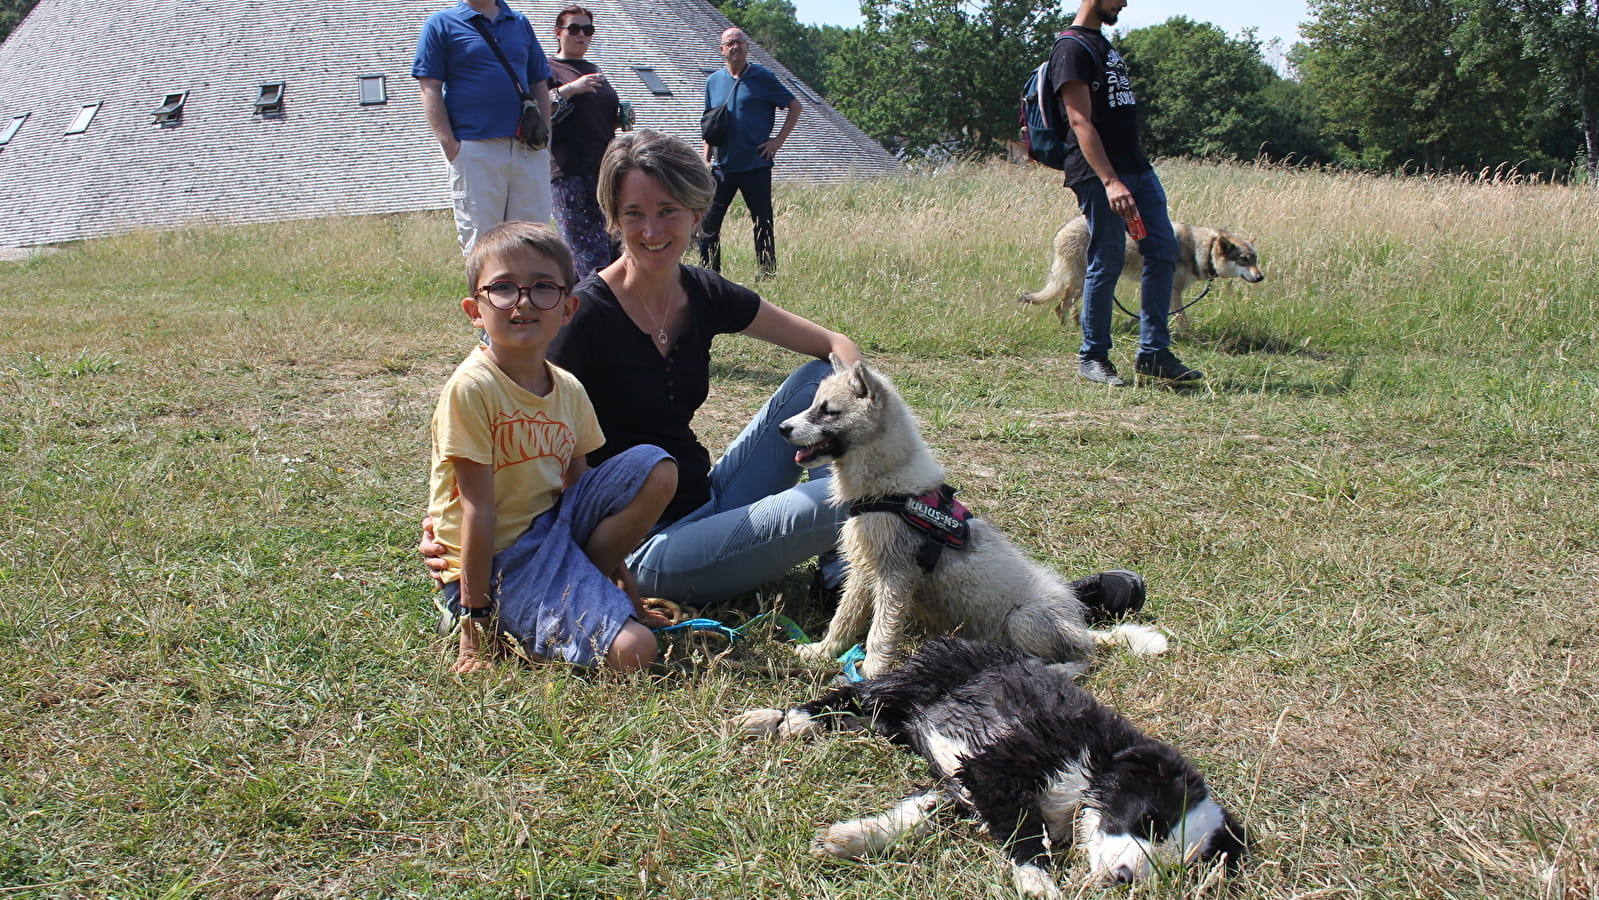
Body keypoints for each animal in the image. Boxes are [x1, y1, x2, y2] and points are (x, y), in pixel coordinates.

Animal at [732, 636, 1240, 895]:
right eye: (1149, 821)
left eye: (1178, 865)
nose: (1124, 879)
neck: (1092, 773)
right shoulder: (997, 765)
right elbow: (1024, 832)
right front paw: (1038, 883)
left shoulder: (967, 781)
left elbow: (921, 811)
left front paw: (849, 839)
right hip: (911, 683)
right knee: (848, 695)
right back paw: (777, 720)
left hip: (898, 718)